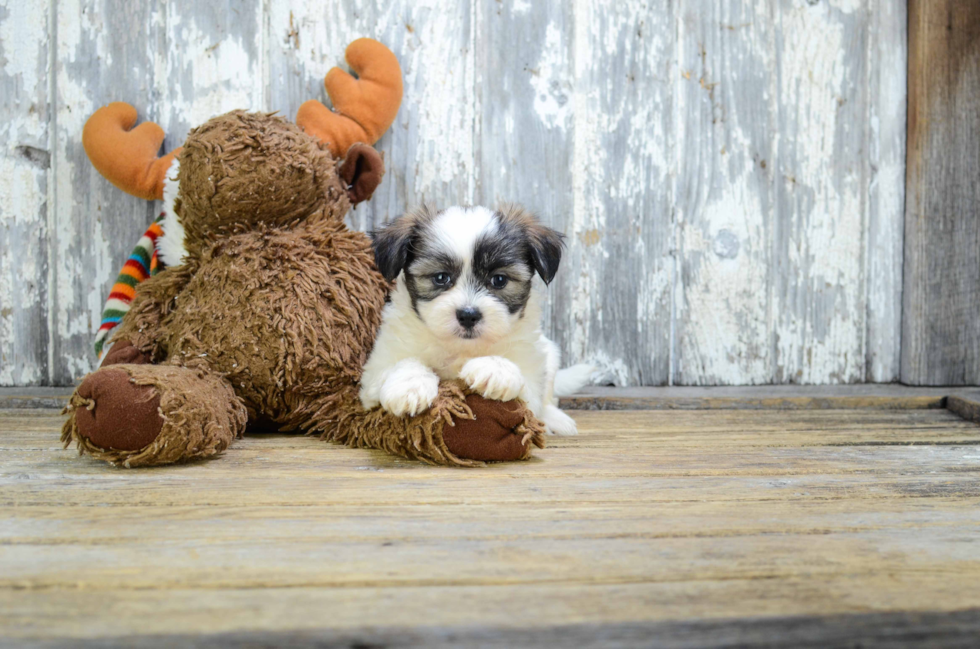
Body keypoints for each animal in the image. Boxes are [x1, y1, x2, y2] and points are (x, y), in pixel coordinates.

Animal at [358, 205, 588, 432]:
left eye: (499, 280)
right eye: (441, 278)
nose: (468, 315)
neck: (462, 347)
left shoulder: (530, 374)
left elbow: (529, 398)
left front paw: (495, 369)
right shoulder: (374, 374)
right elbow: (402, 363)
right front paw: (409, 385)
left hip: (550, 354)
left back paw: (556, 419)